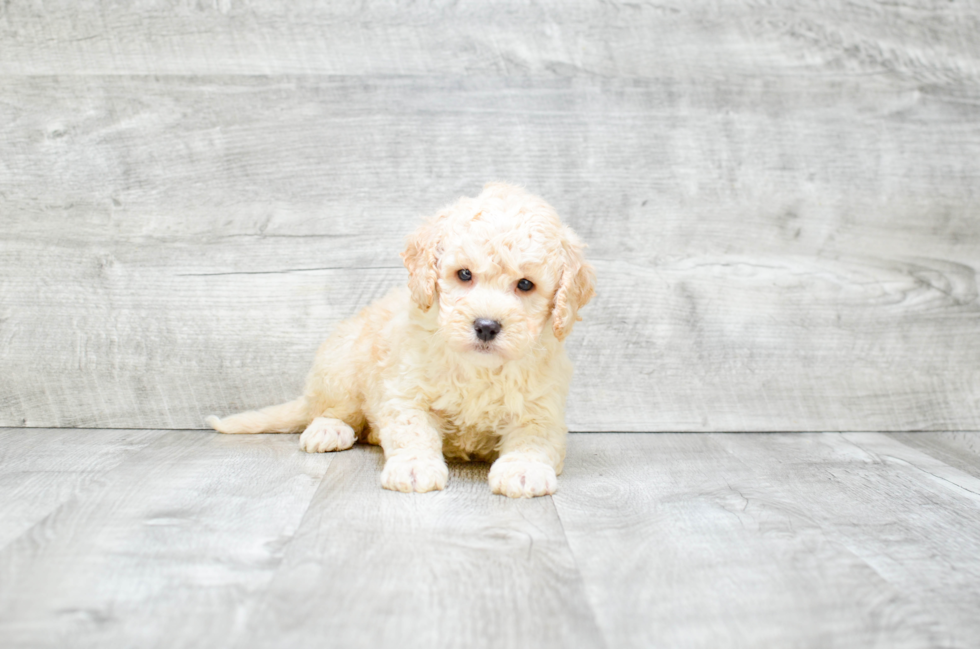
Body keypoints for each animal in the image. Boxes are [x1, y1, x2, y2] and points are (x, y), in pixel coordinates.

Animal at [209, 182, 596, 496]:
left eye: (526, 284)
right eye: (464, 274)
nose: (486, 326)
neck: (478, 367)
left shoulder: (541, 408)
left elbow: (534, 439)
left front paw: (524, 469)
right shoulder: (406, 391)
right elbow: (413, 430)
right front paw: (414, 466)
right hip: (341, 367)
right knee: (330, 410)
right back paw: (328, 430)